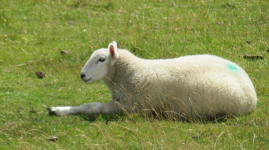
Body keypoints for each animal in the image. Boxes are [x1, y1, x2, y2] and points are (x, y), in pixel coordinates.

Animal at [47, 41, 255, 119]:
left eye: (101, 59)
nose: (82, 75)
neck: (132, 72)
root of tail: (252, 93)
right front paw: (57, 108)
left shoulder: (130, 106)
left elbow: (91, 107)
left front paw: (59, 110)